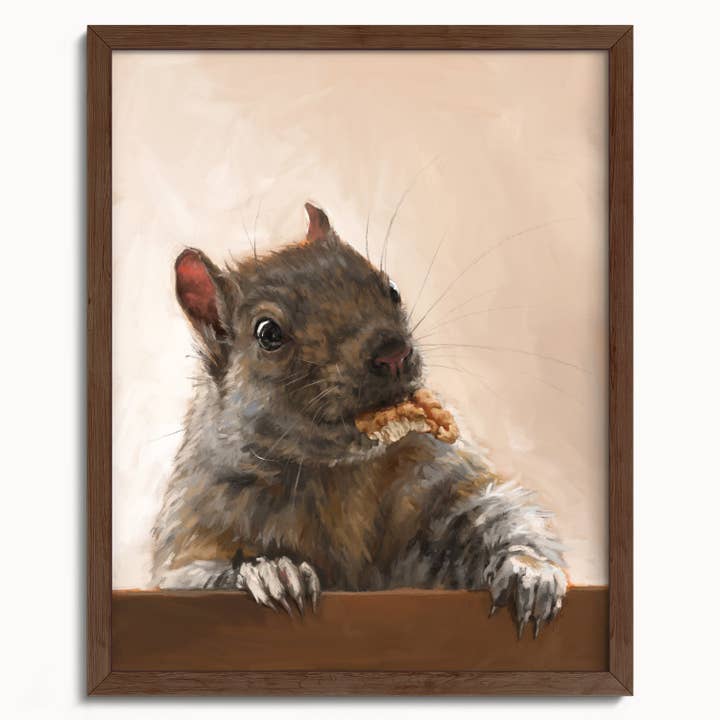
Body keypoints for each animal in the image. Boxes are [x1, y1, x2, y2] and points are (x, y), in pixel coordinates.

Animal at [152, 203, 567, 638]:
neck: (337, 472)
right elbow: (190, 575)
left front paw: (529, 571)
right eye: (267, 333)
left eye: (392, 289)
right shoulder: (197, 525)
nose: (393, 352)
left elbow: (493, 510)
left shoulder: (435, 476)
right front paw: (271, 571)